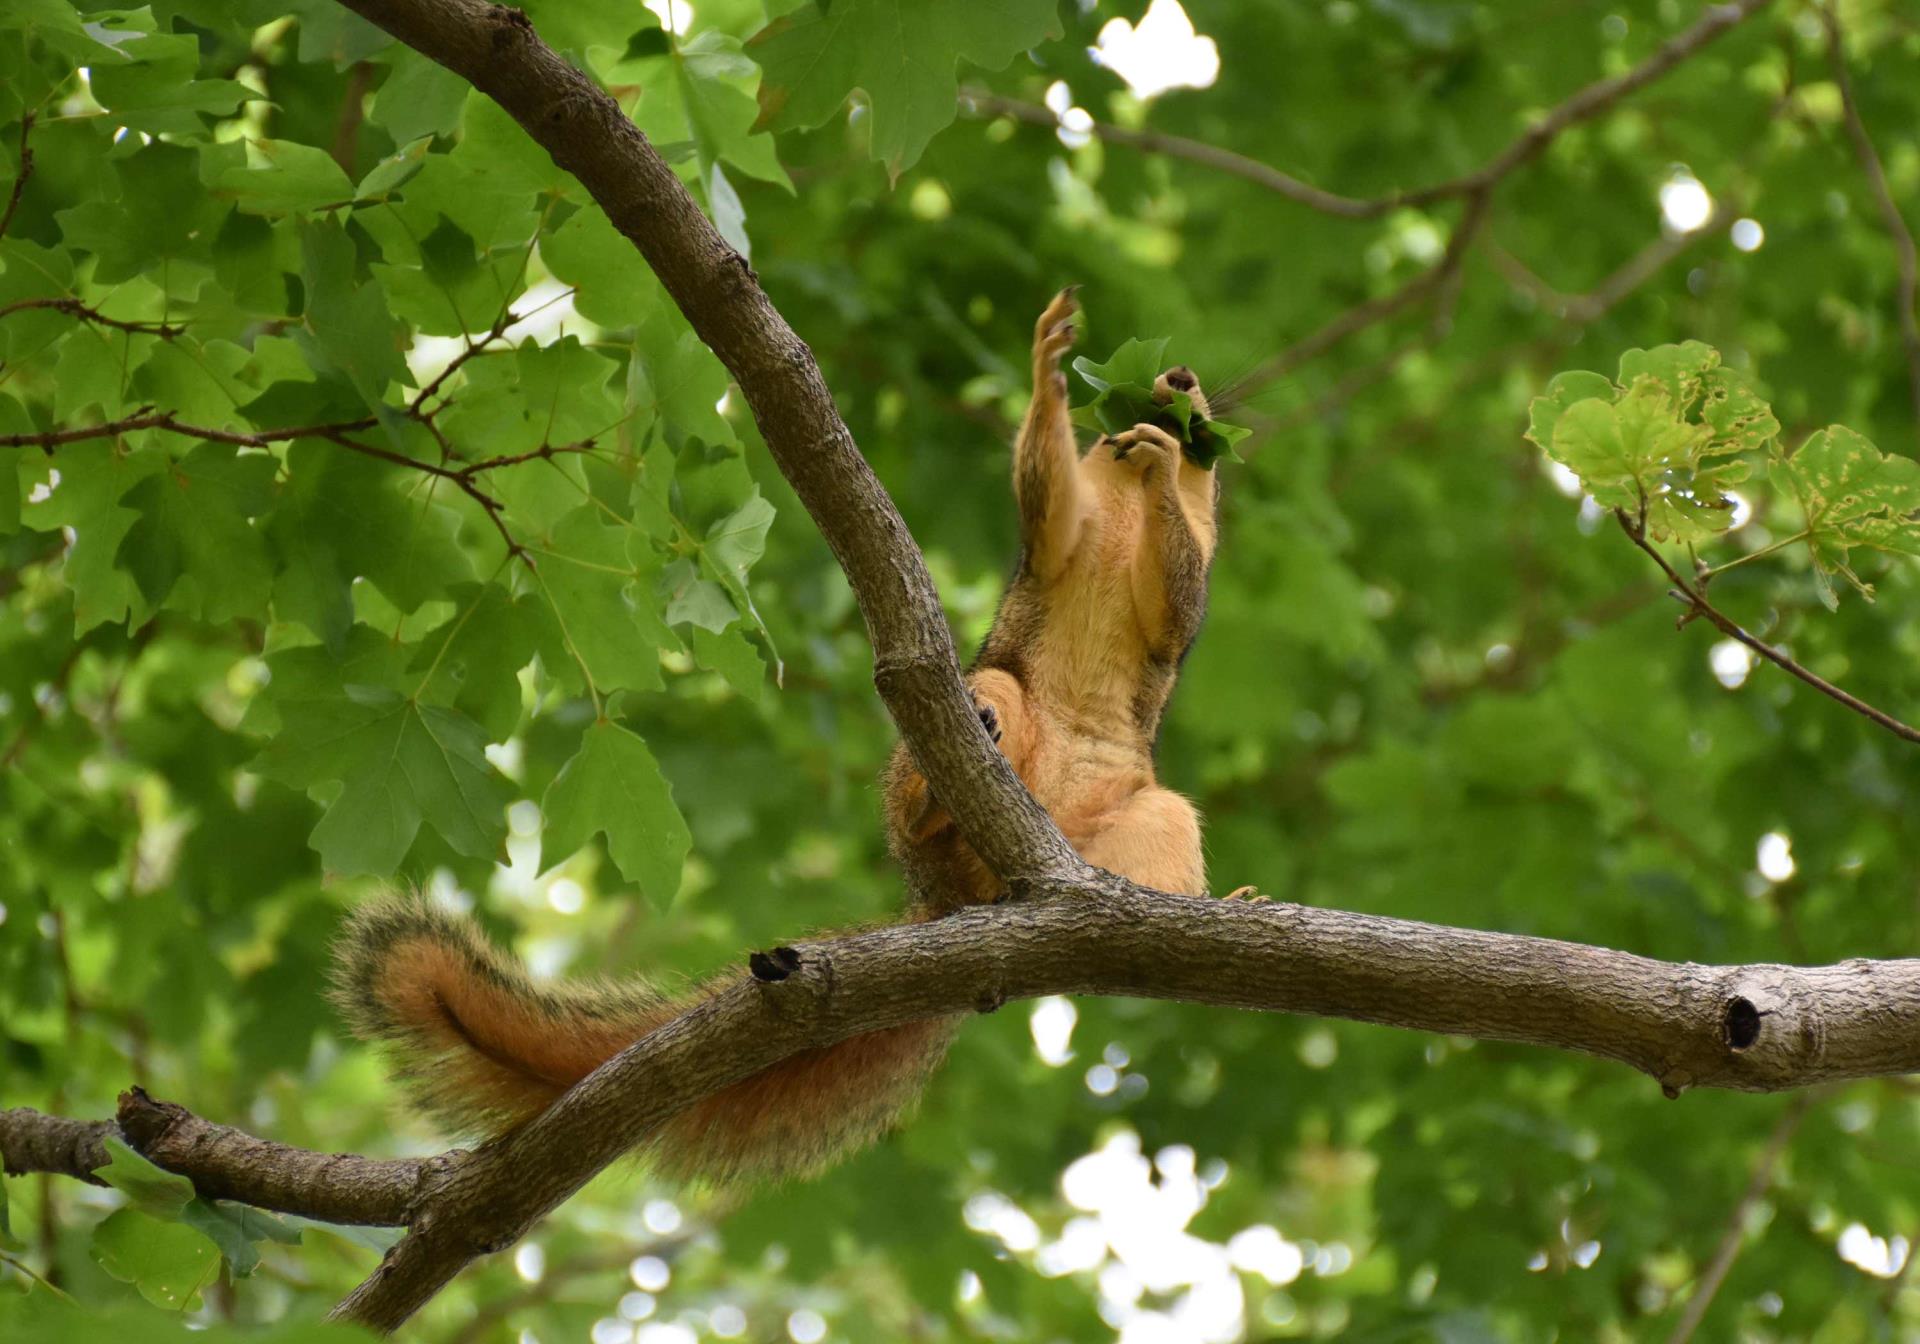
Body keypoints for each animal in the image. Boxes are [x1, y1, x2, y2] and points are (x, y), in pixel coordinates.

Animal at [334, 293, 1213, 1182]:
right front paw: (1050, 365)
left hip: (1148, 818)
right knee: (986, 710)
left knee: (1155, 832)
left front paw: (1173, 464)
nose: (1177, 382)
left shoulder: (1176, 600)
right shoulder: (1056, 544)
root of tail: (954, 899)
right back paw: (949, 780)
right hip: (989, 712)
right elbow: (1048, 497)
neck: (1123, 515)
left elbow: (1179, 593)